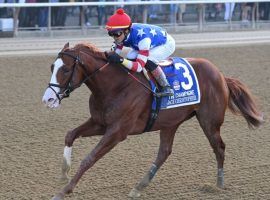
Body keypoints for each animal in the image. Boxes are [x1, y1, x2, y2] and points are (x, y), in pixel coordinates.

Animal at [42, 42, 264, 200]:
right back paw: (139, 186)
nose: (48, 99)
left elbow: (89, 158)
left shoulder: (117, 132)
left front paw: (63, 191)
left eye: (65, 69)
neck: (115, 85)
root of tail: (221, 75)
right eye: (52, 66)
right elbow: (70, 134)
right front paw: (64, 173)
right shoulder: (100, 123)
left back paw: (218, 184)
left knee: (219, 147)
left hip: (210, 121)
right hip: (170, 123)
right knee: (164, 152)